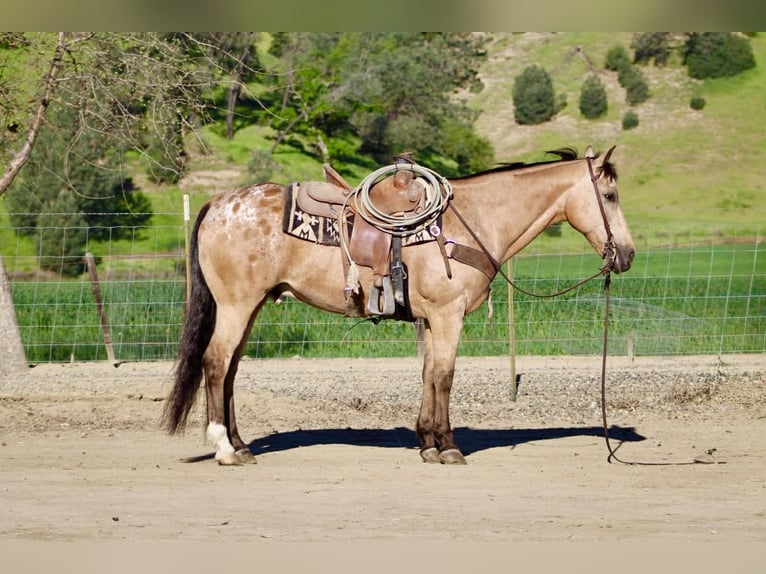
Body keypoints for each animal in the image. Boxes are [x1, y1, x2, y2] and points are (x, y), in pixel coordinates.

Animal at [162, 145, 635, 465]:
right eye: (611, 196)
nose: (627, 255)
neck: (471, 221)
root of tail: (217, 204)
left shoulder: (430, 319)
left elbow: (427, 376)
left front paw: (426, 442)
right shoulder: (448, 315)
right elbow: (444, 377)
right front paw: (448, 447)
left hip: (251, 306)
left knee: (230, 370)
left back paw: (241, 444)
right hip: (237, 305)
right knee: (216, 362)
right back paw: (224, 448)